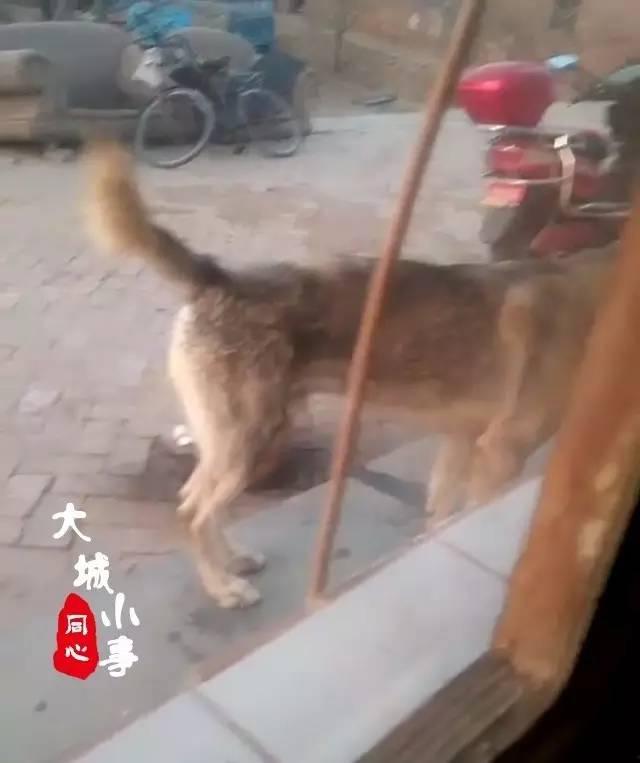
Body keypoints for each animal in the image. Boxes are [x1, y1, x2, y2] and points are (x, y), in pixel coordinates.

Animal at [85, 140, 613, 609]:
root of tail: (220, 277)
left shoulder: (461, 441)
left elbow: (440, 518)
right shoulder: (502, 454)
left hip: (249, 440)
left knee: (199, 501)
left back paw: (233, 561)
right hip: (249, 443)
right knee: (193, 512)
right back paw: (223, 590)